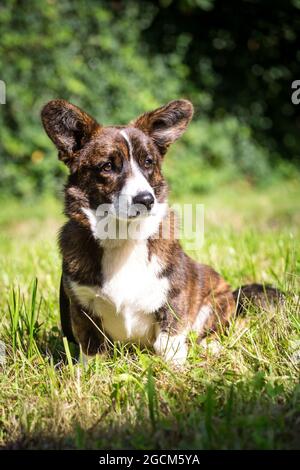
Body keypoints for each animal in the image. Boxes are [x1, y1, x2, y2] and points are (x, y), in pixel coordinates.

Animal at [40, 98, 282, 364]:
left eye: (148, 162)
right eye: (107, 167)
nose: (146, 200)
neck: (123, 236)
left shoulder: (174, 295)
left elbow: (169, 339)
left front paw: (175, 366)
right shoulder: (81, 307)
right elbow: (91, 348)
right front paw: (88, 371)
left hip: (217, 298)